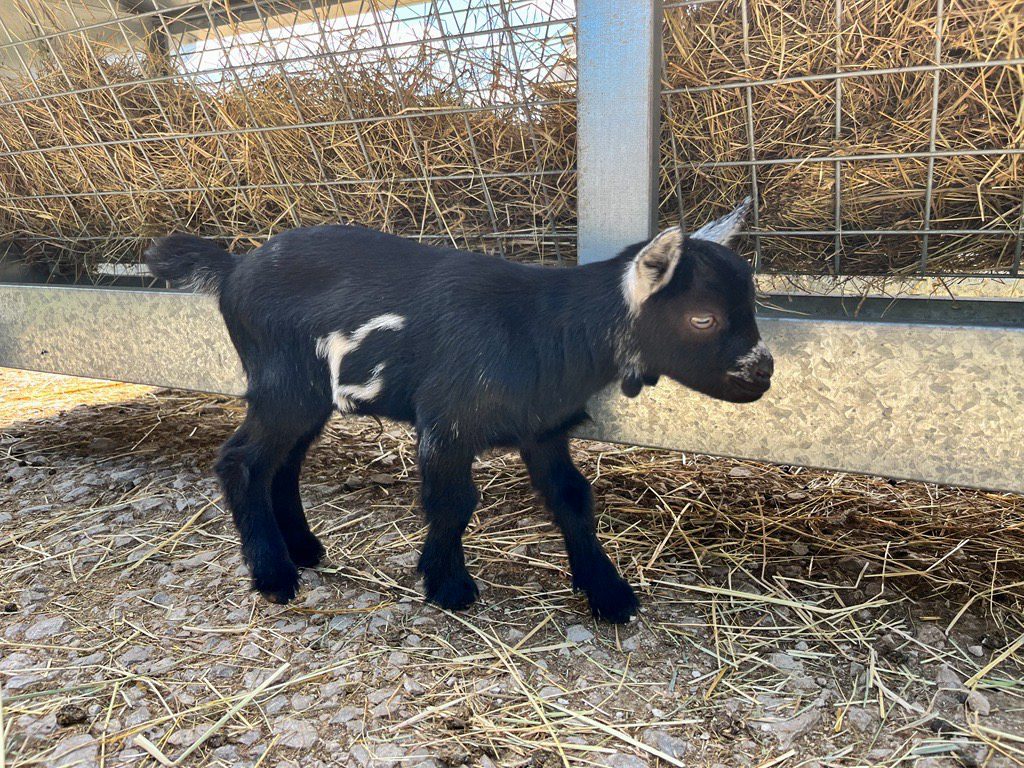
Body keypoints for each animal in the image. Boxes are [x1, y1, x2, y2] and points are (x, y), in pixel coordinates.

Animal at [145, 198, 773, 623]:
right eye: (703, 318)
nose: (763, 373)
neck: (546, 327)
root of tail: (232, 270)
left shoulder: (542, 429)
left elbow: (573, 500)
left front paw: (608, 592)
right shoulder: (447, 419)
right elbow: (453, 502)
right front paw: (448, 585)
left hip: (306, 394)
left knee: (285, 463)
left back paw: (303, 549)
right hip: (283, 382)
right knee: (243, 461)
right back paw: (274, 574)